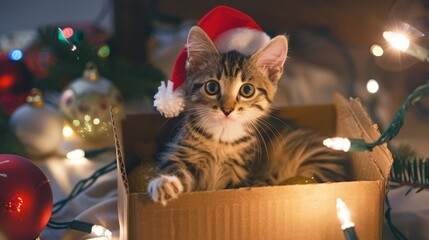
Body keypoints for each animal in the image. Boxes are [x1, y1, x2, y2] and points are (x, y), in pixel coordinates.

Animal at [148, 26, 348, 206]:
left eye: (247, 90)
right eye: (212, 87)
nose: (227, 109)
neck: (222, 138)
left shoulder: (244, 174)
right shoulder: (182, 153)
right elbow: (176, 169)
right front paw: (164, 183)